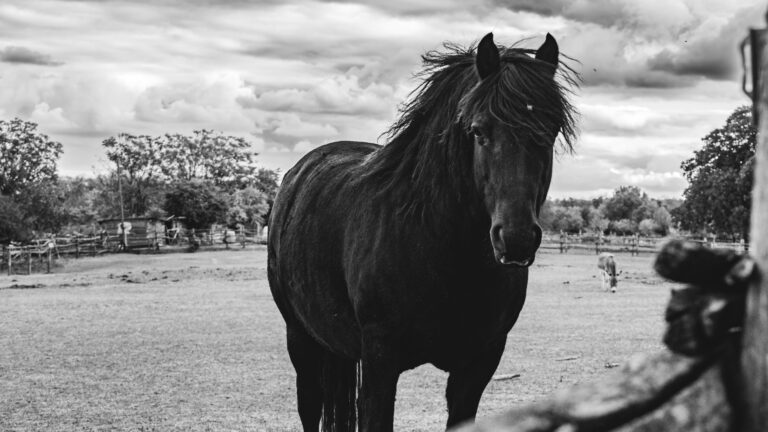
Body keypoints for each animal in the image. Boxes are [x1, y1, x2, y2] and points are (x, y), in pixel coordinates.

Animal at [268, 32, 578, 431]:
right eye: (478, 131)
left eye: (550, 131)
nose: (517, 238)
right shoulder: (380, 364)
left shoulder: (477, 366)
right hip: (301, 339)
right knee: (309, 405)